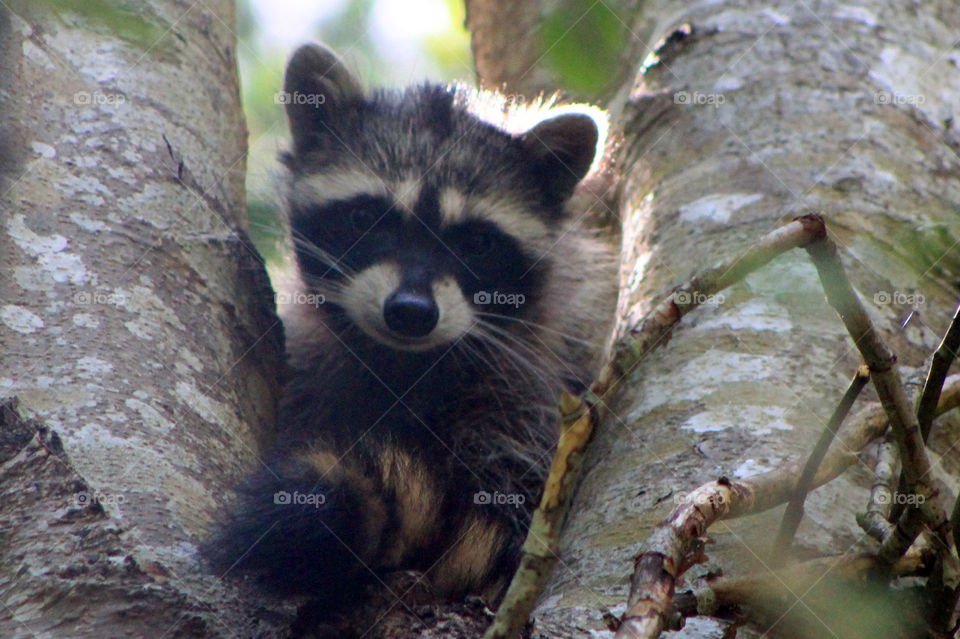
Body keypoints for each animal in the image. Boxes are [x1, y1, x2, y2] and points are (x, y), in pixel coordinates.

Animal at [207, 43, 616, 620]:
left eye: (475, 244)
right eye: (365, 217)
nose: (411, 311)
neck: (405, 361)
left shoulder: (532, 383)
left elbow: (506, 496)